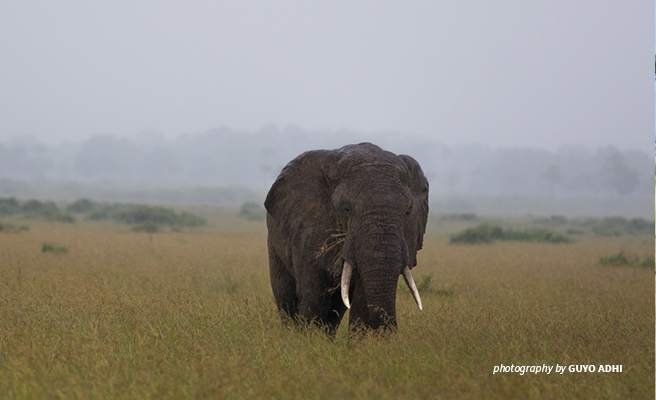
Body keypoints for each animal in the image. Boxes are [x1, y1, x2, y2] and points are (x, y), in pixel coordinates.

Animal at [264, 142, 429, 335]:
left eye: (408, 212)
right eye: (346, 209)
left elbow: (362, 303)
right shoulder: (309, 230)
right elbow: (314, 298)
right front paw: (307, 339)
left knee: (336, 308)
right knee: (286, 297)